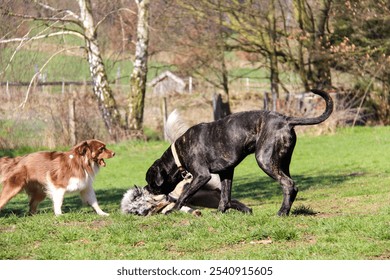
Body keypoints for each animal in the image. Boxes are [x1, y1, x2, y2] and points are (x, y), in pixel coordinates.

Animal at [119, 110, 250, 217]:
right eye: (140, 211)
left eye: (151, 183)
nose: (146, 188)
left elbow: (181, 200)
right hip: (207, 197)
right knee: (228, 200)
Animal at [145, 88, 334, 215]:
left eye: (151, 181)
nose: (146, 189)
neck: (178, 154)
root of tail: (286, 120)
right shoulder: (226, 172)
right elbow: (225, 197)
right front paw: (220, 213)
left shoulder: (201, 175)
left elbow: (184, 194)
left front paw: (173, 210)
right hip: (282, 162)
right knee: (291, 184)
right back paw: (286, 210)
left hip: (265, 160)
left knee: (288, 184)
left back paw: (281, 213)